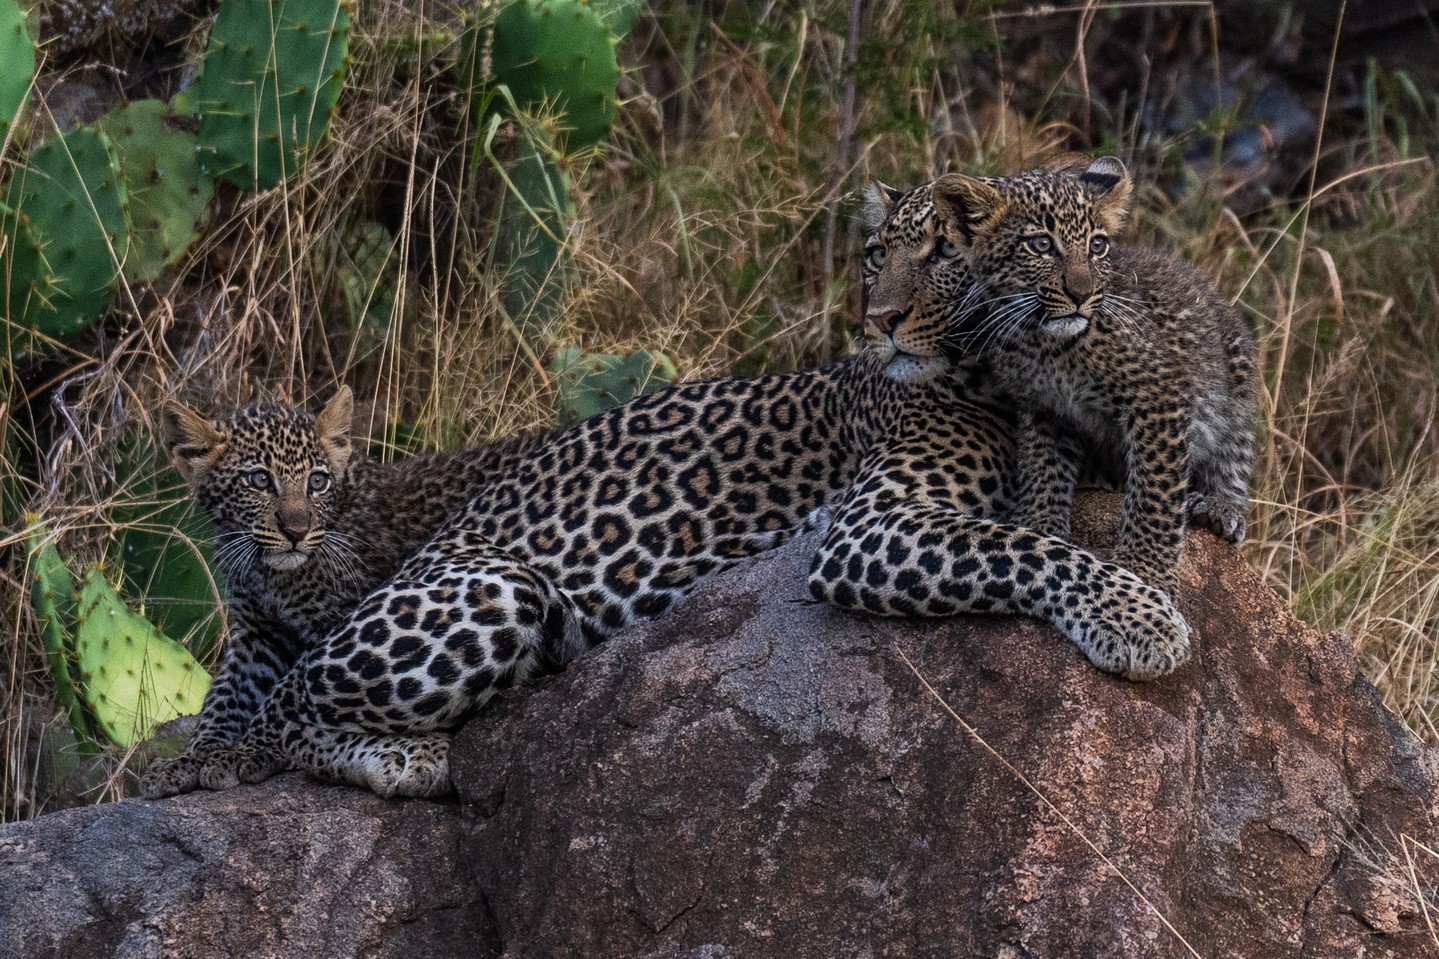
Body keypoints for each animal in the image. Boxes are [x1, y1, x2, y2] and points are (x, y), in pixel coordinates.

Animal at [143, 345, 1192, 803]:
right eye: (255, 483)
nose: (291, 525)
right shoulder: (870, 530)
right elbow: (1029, 547)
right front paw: (1142, 616)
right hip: (494, 590)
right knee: (287, 711)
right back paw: (397, 759)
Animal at [860, 155, 1258, 595]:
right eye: (1041, 245)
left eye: (1097, 246)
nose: (1081, 295)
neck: (1044, 343)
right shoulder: (1042, 407)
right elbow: (1042, 468)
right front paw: (1039, 527)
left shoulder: (1158, 396)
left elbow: (1154, 490)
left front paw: (1146, 567)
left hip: (1237, 375)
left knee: (1233, 451)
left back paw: (1219, 507)